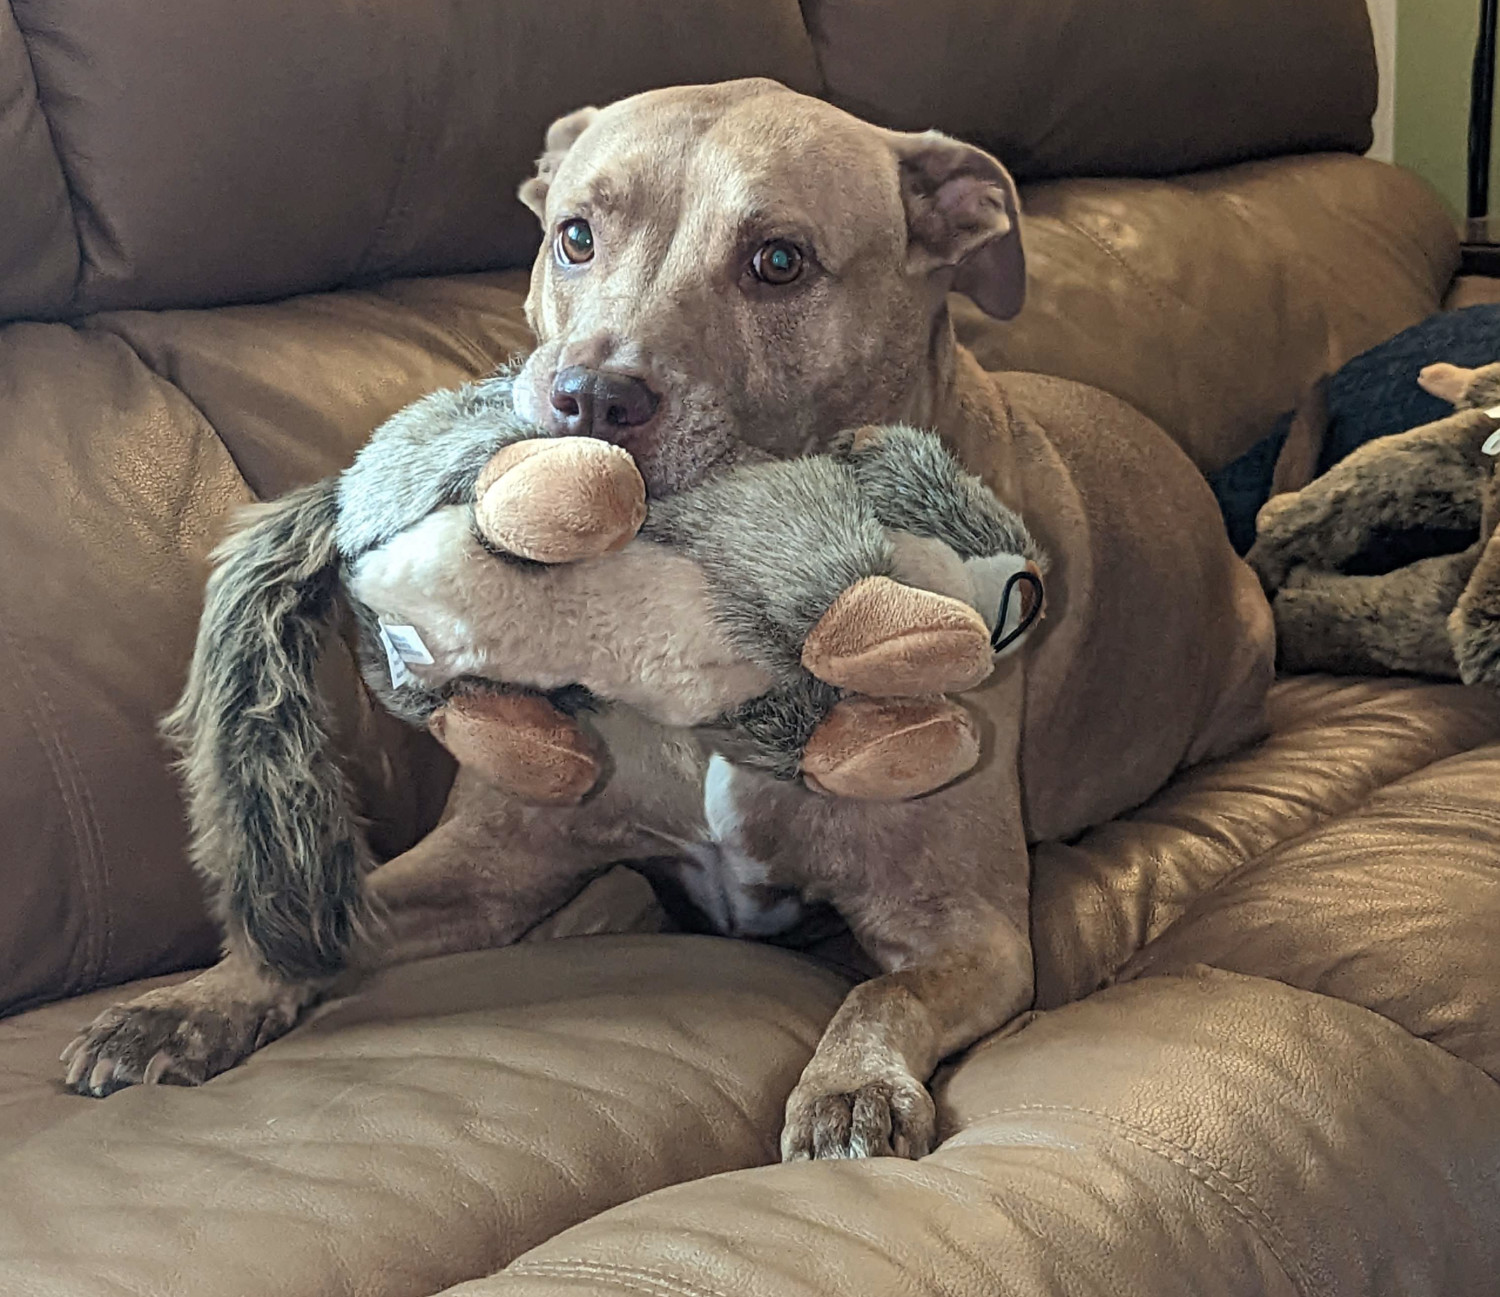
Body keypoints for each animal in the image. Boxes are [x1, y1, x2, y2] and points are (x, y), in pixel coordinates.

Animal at [64, 75, 1272, 1157]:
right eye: (575, 236)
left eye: (779, 260)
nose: (591, 399)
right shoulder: (489, 863)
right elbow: (314, 933)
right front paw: (195, 1000)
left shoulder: (963, 926)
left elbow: (878, 998)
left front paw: (850, 1089)